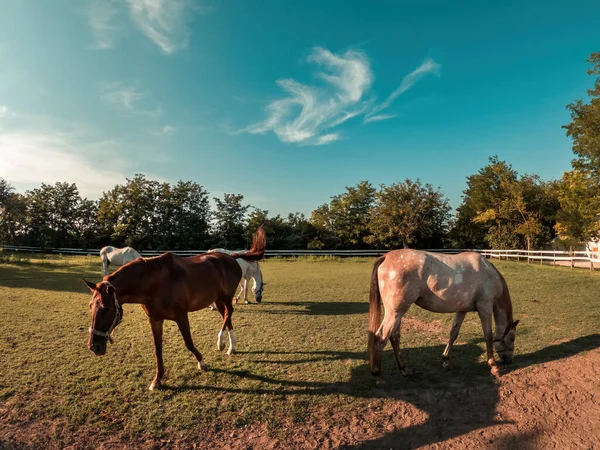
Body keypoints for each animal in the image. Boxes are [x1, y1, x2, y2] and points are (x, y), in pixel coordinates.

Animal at [84, 227, 264, 388]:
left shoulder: (181, 316)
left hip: (226, 297)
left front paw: (202, 363)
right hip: (218, 299)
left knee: (229, 312)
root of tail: (231, 257)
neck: (154, 284)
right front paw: (157, 380)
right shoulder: (155, 320)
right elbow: (157, 350)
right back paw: (229, 345)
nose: (94, 347)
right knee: (226, 315)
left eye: (106, 308)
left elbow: (188, 343)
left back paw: (223, 343)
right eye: (91, 306)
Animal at [368, 250, 516, 376]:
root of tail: (385, 257)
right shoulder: (485, 307)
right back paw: (377, 374)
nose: (509, 361)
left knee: (394, 337)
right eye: (512, 338)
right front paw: (494, 366)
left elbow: (453, 333)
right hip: (395, 312)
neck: (488, 273)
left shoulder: (462, 310)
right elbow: (488, 336)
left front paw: (445, 359)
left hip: (397, 313)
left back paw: (404, 369)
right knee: (381, 337)